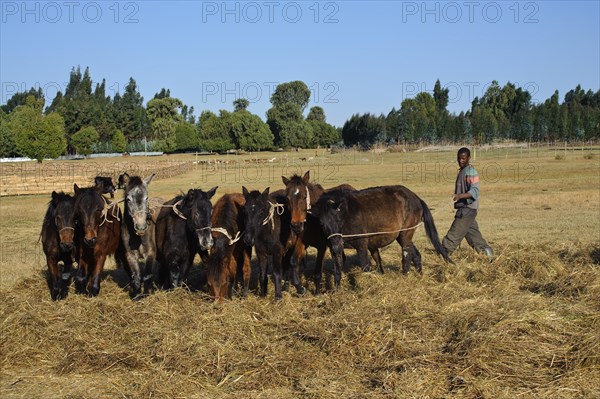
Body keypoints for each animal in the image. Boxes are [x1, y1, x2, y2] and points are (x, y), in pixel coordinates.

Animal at [312, 186, 452, 290]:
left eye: (338, 219)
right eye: (322, 223)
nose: (336, 245)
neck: (347, 213)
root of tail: (416, 197)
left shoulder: (361, 245)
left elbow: (365, 267)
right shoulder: (334, 248)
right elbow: (337, 269)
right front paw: (337, 290)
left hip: (405, 234)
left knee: (406, 256)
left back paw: (405, 276)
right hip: (402, 236)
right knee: (415, 255)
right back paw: (419, 275)